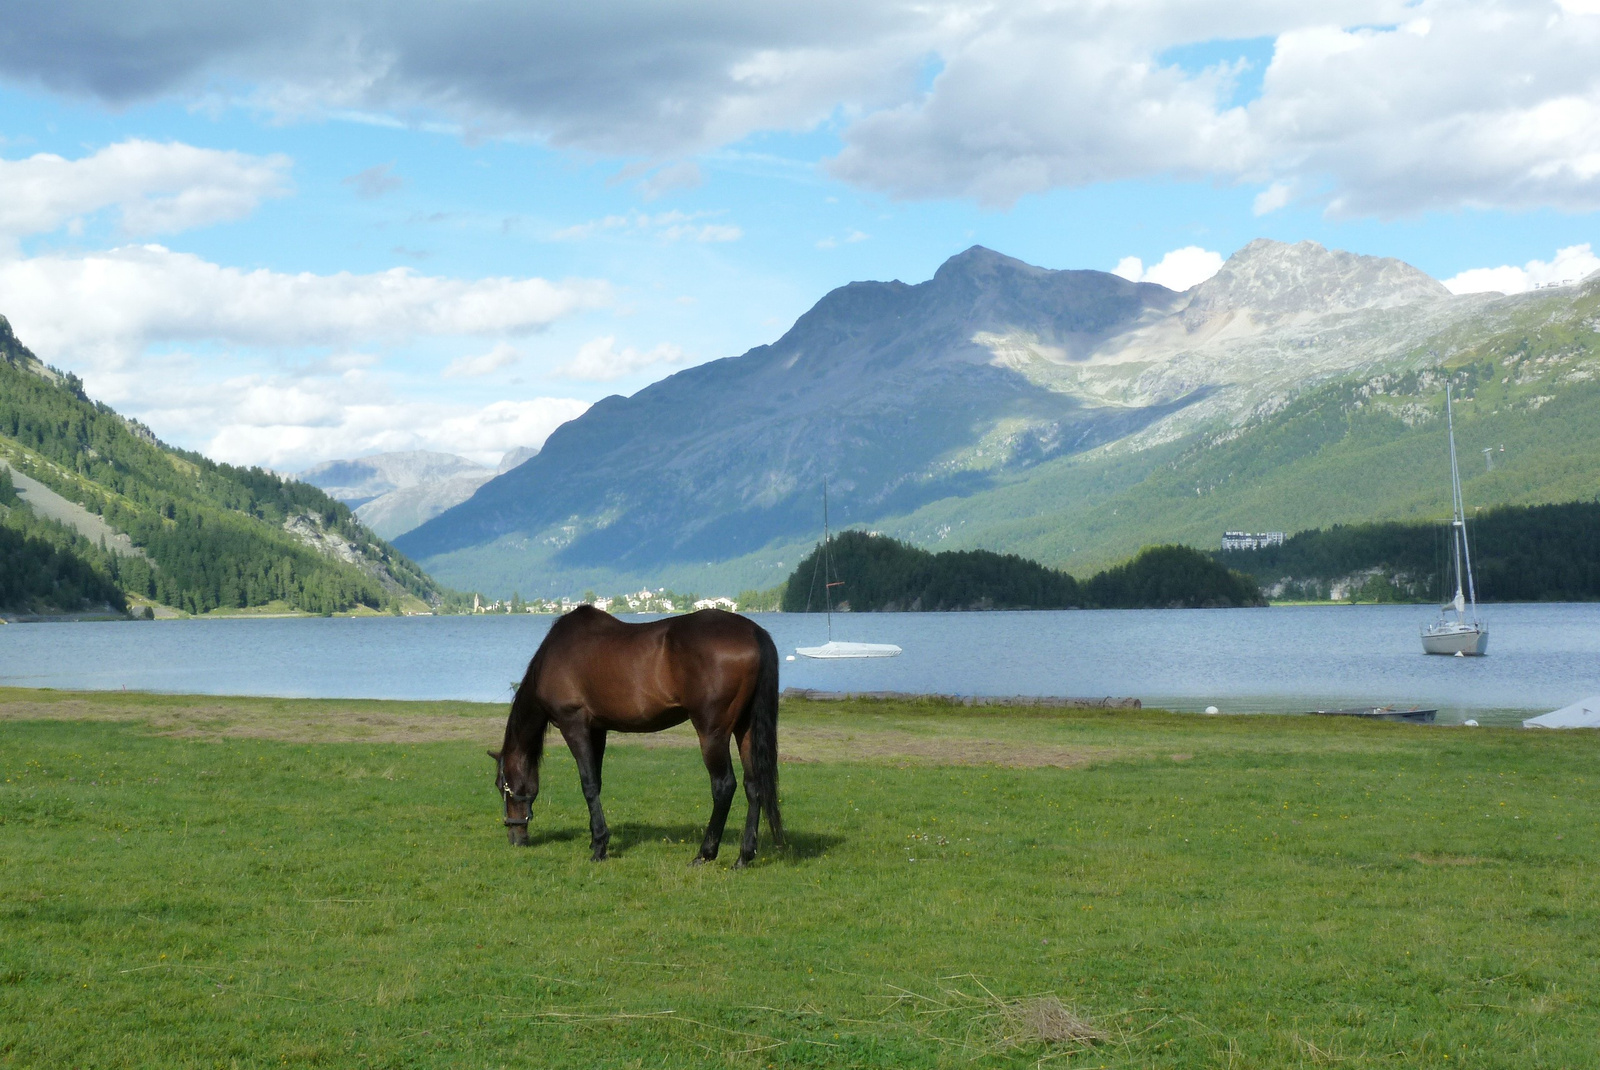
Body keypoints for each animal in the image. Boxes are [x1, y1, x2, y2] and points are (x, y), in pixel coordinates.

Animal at [489, 604, 784, 863]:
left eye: (502, 785)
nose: (515, 836)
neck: (554, 656)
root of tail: (753, 632)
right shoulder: (598, 729)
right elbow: (597, 781)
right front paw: (596, 840)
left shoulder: (574, 725)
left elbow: (588, 784)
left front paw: (599, 847)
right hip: (745, 728)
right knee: (753, 785)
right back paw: (744, 856)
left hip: (712, 732)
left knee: (724, 786)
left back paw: (705, 853)